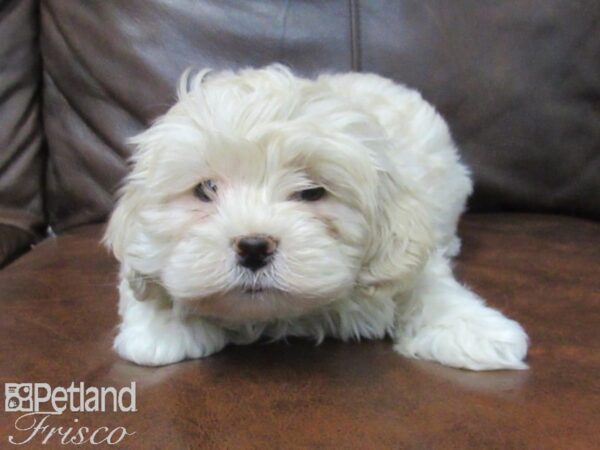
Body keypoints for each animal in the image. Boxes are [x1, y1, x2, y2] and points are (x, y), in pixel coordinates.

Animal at [105, 65, 528, 370]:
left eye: (311, 192)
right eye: (206, 189)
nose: (254, 246)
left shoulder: (404, 248)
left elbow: (429, 283)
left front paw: (476, 330)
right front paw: (162, 329)